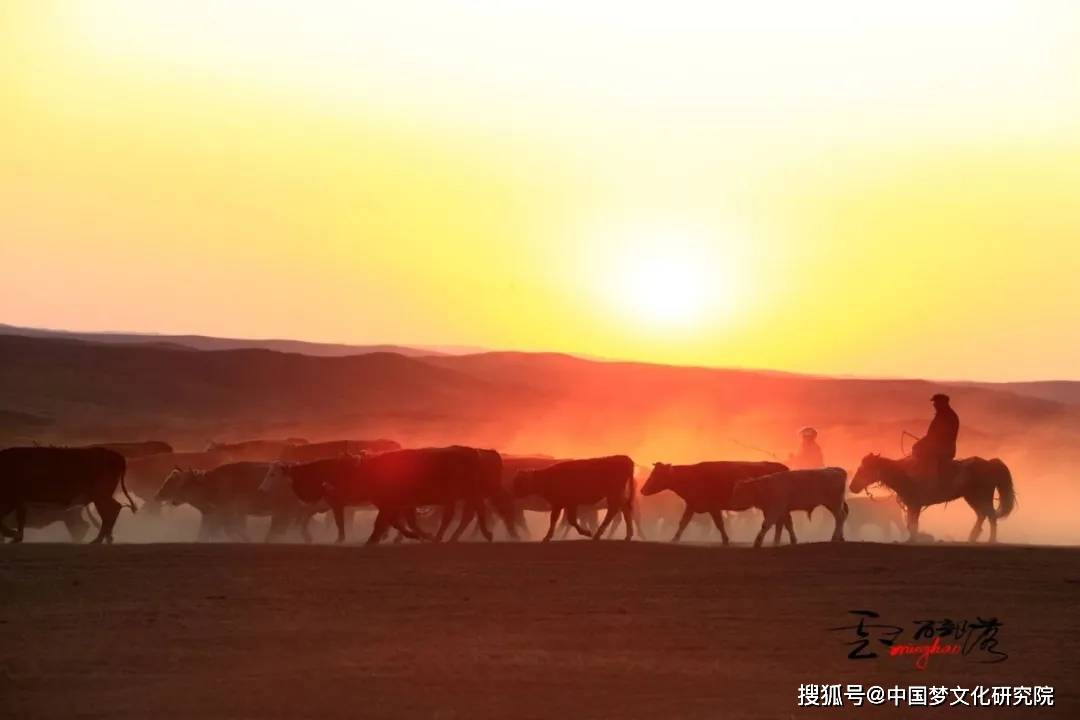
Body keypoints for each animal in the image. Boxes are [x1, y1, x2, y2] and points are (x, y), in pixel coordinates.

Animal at [0, 446, 135, 544]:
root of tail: (117, 456)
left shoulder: (14, 499)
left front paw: (14, 535)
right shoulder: (18, 501)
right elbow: (18, 518)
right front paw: (16, 537)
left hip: (100, 495)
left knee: (111, 510)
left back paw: (97, 541)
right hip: (99, 497)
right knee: (112, 510)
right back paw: (105, 539)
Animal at [635, 462, 790, 546]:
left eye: (656, 475)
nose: (642, 490)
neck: (690, 477)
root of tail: (783, 467)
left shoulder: (714, 506)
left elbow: (719, 524)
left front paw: (726, 540)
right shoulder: (692, 504)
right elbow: (683, 522)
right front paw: (674, 539)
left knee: (780, 521)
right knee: (780, 522)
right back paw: (776, 541)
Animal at [851, 453, 1010, 544]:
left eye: (863, 469)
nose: (852, 487)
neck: (904, 474)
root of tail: (989, 463)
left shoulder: (914, 504)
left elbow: (912, 523)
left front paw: (913, 539)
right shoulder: (912, 505)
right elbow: (911, 523)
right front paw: (913, 538)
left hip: (981, 498)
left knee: (991, 516)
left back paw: (991, 540)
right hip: (973, 498)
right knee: (982, 515)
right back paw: (972, 538)